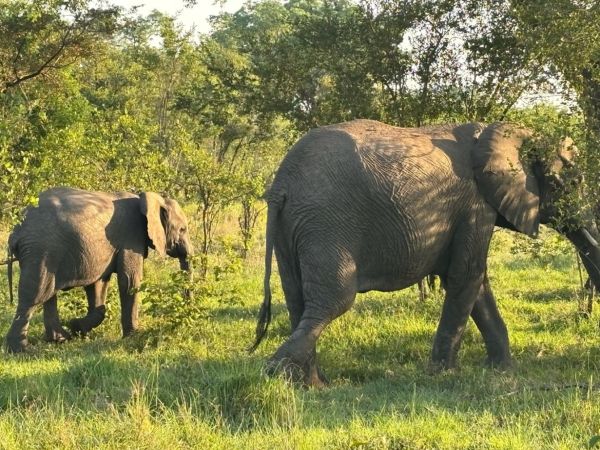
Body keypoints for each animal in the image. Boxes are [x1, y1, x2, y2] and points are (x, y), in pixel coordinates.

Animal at [5, 186, 193, 352]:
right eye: (183, 229)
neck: (149, 199)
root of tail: (17, 230)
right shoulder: (131, 237)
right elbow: (130, 281)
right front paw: (133, 337)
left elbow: (98, 284)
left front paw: (76, 326)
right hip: (41, 250)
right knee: (34, 296)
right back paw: (22, 350)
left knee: (49, 293)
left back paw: (60, 339)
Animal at [251, 119, 600, 386]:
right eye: (572, 182)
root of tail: (281, 186)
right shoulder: (475, 205)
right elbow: (466, 277)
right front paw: (443, 374)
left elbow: (476, 283)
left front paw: (501, 370)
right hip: (326, 223)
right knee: (333, 301)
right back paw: (277, 375)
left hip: (293, 227)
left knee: (299, 300)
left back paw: (310, 384)